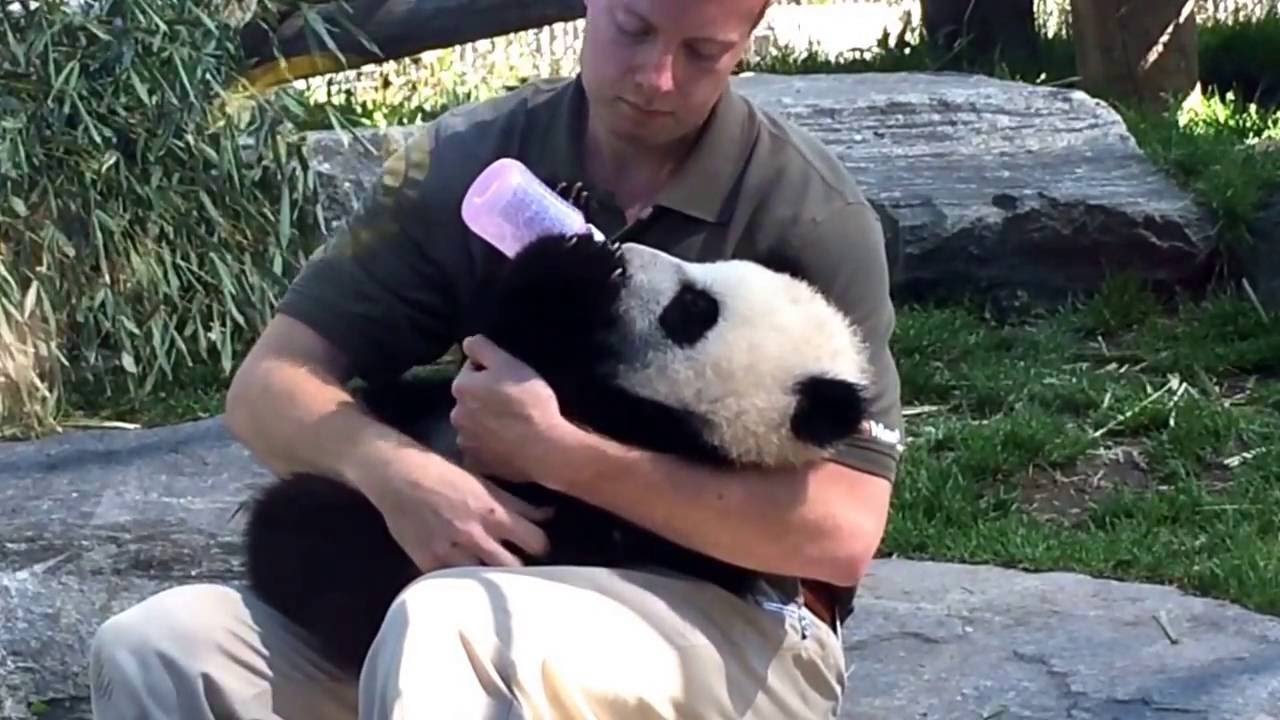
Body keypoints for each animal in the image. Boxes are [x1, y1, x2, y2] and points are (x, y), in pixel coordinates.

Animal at [240, 230, 875, 676]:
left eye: (694, 310)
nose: (628, 251)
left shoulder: (634, 451)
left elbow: (522, 344)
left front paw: (572, 267)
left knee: (310, 534)